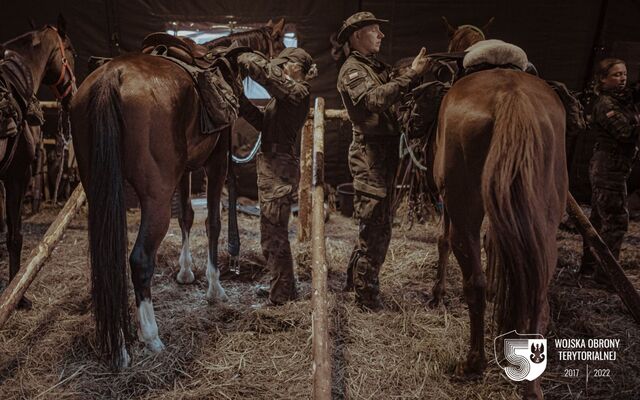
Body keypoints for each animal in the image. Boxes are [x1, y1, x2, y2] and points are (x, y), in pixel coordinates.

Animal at [69, 20, 284, 368]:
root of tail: (110, 78)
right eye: (279, 45)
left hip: (100, 190)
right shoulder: (215, 163)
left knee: (108, 259)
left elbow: (186, 215)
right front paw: (214, 290)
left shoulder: (185, 170)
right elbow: (212, 223)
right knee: (140, 259)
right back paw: (151, 338)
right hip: (156, 196)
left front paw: (185, 273)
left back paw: (119, 345)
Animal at [424, 22, 564, 400]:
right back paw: (531, 382)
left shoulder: (449, 204)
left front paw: (437, 294)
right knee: (538, 294)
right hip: (543, 219)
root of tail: (510, 98)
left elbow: (443, 241)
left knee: (474, 280)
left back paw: (472, 362)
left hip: (464, 210)